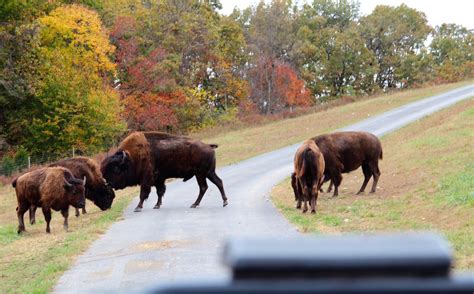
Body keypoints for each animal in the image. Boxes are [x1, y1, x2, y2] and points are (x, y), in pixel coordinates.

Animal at [100, 131, 228, 211]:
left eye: (116, 169)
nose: (109, 183)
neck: (131, 157)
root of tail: (209, 146)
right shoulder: (159, 180)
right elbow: (160, 192)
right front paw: (157, 205)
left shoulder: (146, 179)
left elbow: (143, 193)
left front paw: (138, 207)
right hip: (209, 173)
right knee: (218, 182)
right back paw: (224, 202)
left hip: (201, 174)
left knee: (203, 187)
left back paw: (195, 204)